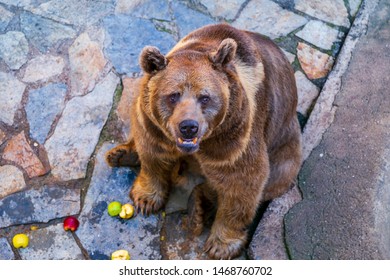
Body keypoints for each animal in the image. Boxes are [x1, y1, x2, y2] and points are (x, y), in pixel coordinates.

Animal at [106, 23, 302, 260]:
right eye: (173, 95)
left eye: (205, 97)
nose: (189, 126)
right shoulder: (153, 126)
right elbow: (154, 155)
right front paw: (146, 199)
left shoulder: (234, 137)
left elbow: (242, 181)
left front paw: (222, 245)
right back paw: (121, 154)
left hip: (285, 149)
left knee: (273, 179)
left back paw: (197, 208)